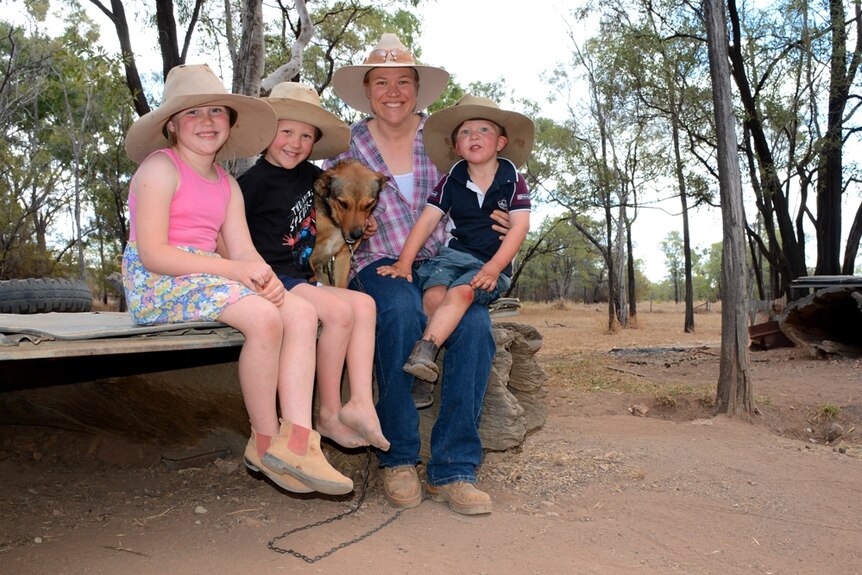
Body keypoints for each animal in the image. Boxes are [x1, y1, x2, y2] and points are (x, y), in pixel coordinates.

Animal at [310, 160, 388, 288]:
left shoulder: (344, 255)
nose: (357, 235)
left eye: (368, 205)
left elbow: (341, 285)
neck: (335, 223)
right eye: (342, 203)